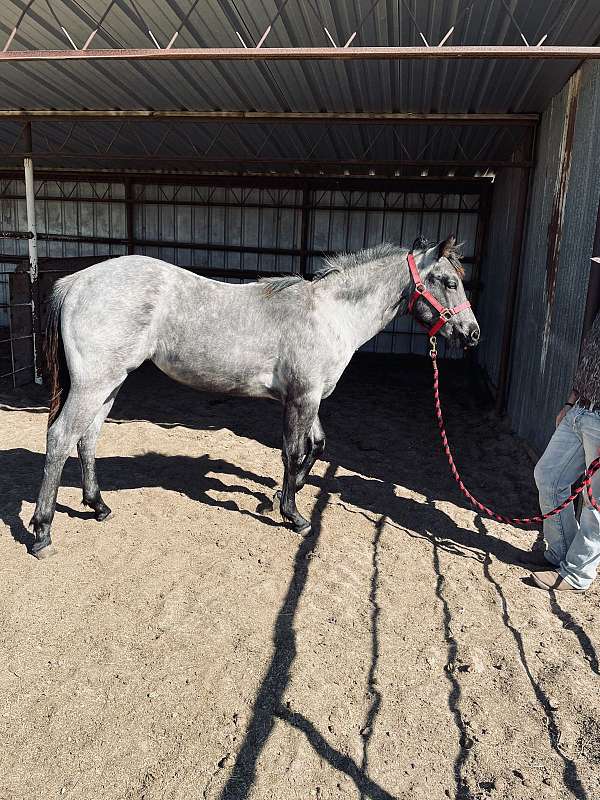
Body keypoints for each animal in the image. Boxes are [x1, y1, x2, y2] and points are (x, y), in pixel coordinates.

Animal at [29, 235, 480, 558]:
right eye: (450, 281)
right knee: (61, 438)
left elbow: (317, 446)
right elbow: (294, 453)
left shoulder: (308, 398)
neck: (330, 313)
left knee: (87, 438)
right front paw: (294, 516)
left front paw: (279, 497)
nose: (472, 334)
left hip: (110, 383)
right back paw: (42, 531)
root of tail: (77, 281)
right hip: (93, 383)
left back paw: (98, 506)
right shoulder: (303, 398)